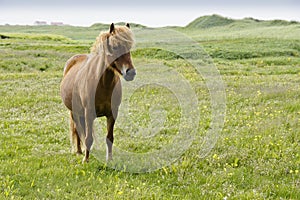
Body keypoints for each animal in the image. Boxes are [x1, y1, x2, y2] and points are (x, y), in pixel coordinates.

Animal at [60, 23, 135, 162]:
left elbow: (109, 138)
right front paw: (86, 160)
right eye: (115, 47)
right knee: (77, 130)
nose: (131, 73)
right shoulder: (89, 113)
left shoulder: (112, 113)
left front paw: (109, 160)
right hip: (74, 112)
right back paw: (79, 152)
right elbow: (88, 138)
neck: (103, 85)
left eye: (129, 48)